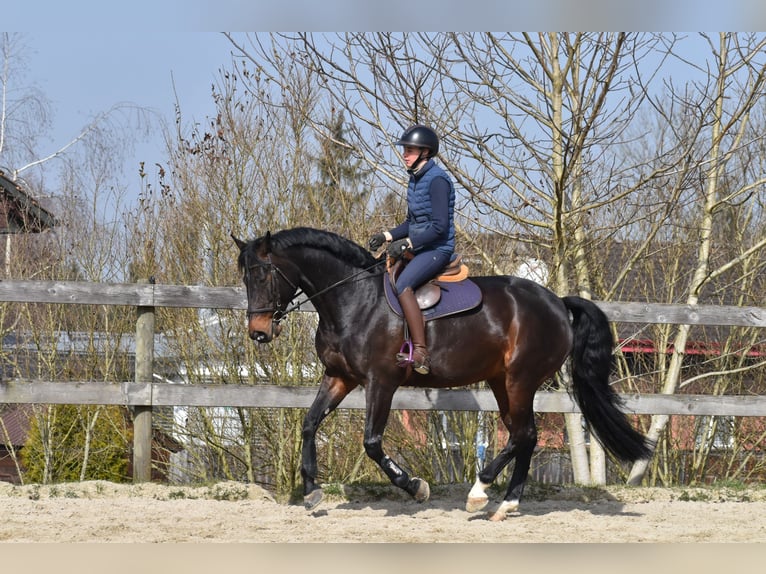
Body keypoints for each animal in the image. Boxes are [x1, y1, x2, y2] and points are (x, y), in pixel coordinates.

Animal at [233, 226, 651, 521]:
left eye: (265, 275)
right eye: (246, 278)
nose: (259, 332)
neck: (353, 300)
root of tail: (557, 303)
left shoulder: (381, 382)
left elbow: (372, 442)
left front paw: (415, 486)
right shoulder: (338, 377)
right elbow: (309, 423)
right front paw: (311, 491)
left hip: (520, 380)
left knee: (524, 435)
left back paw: (482, 493)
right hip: (501, 381)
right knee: (524, 436)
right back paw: (504, 504)